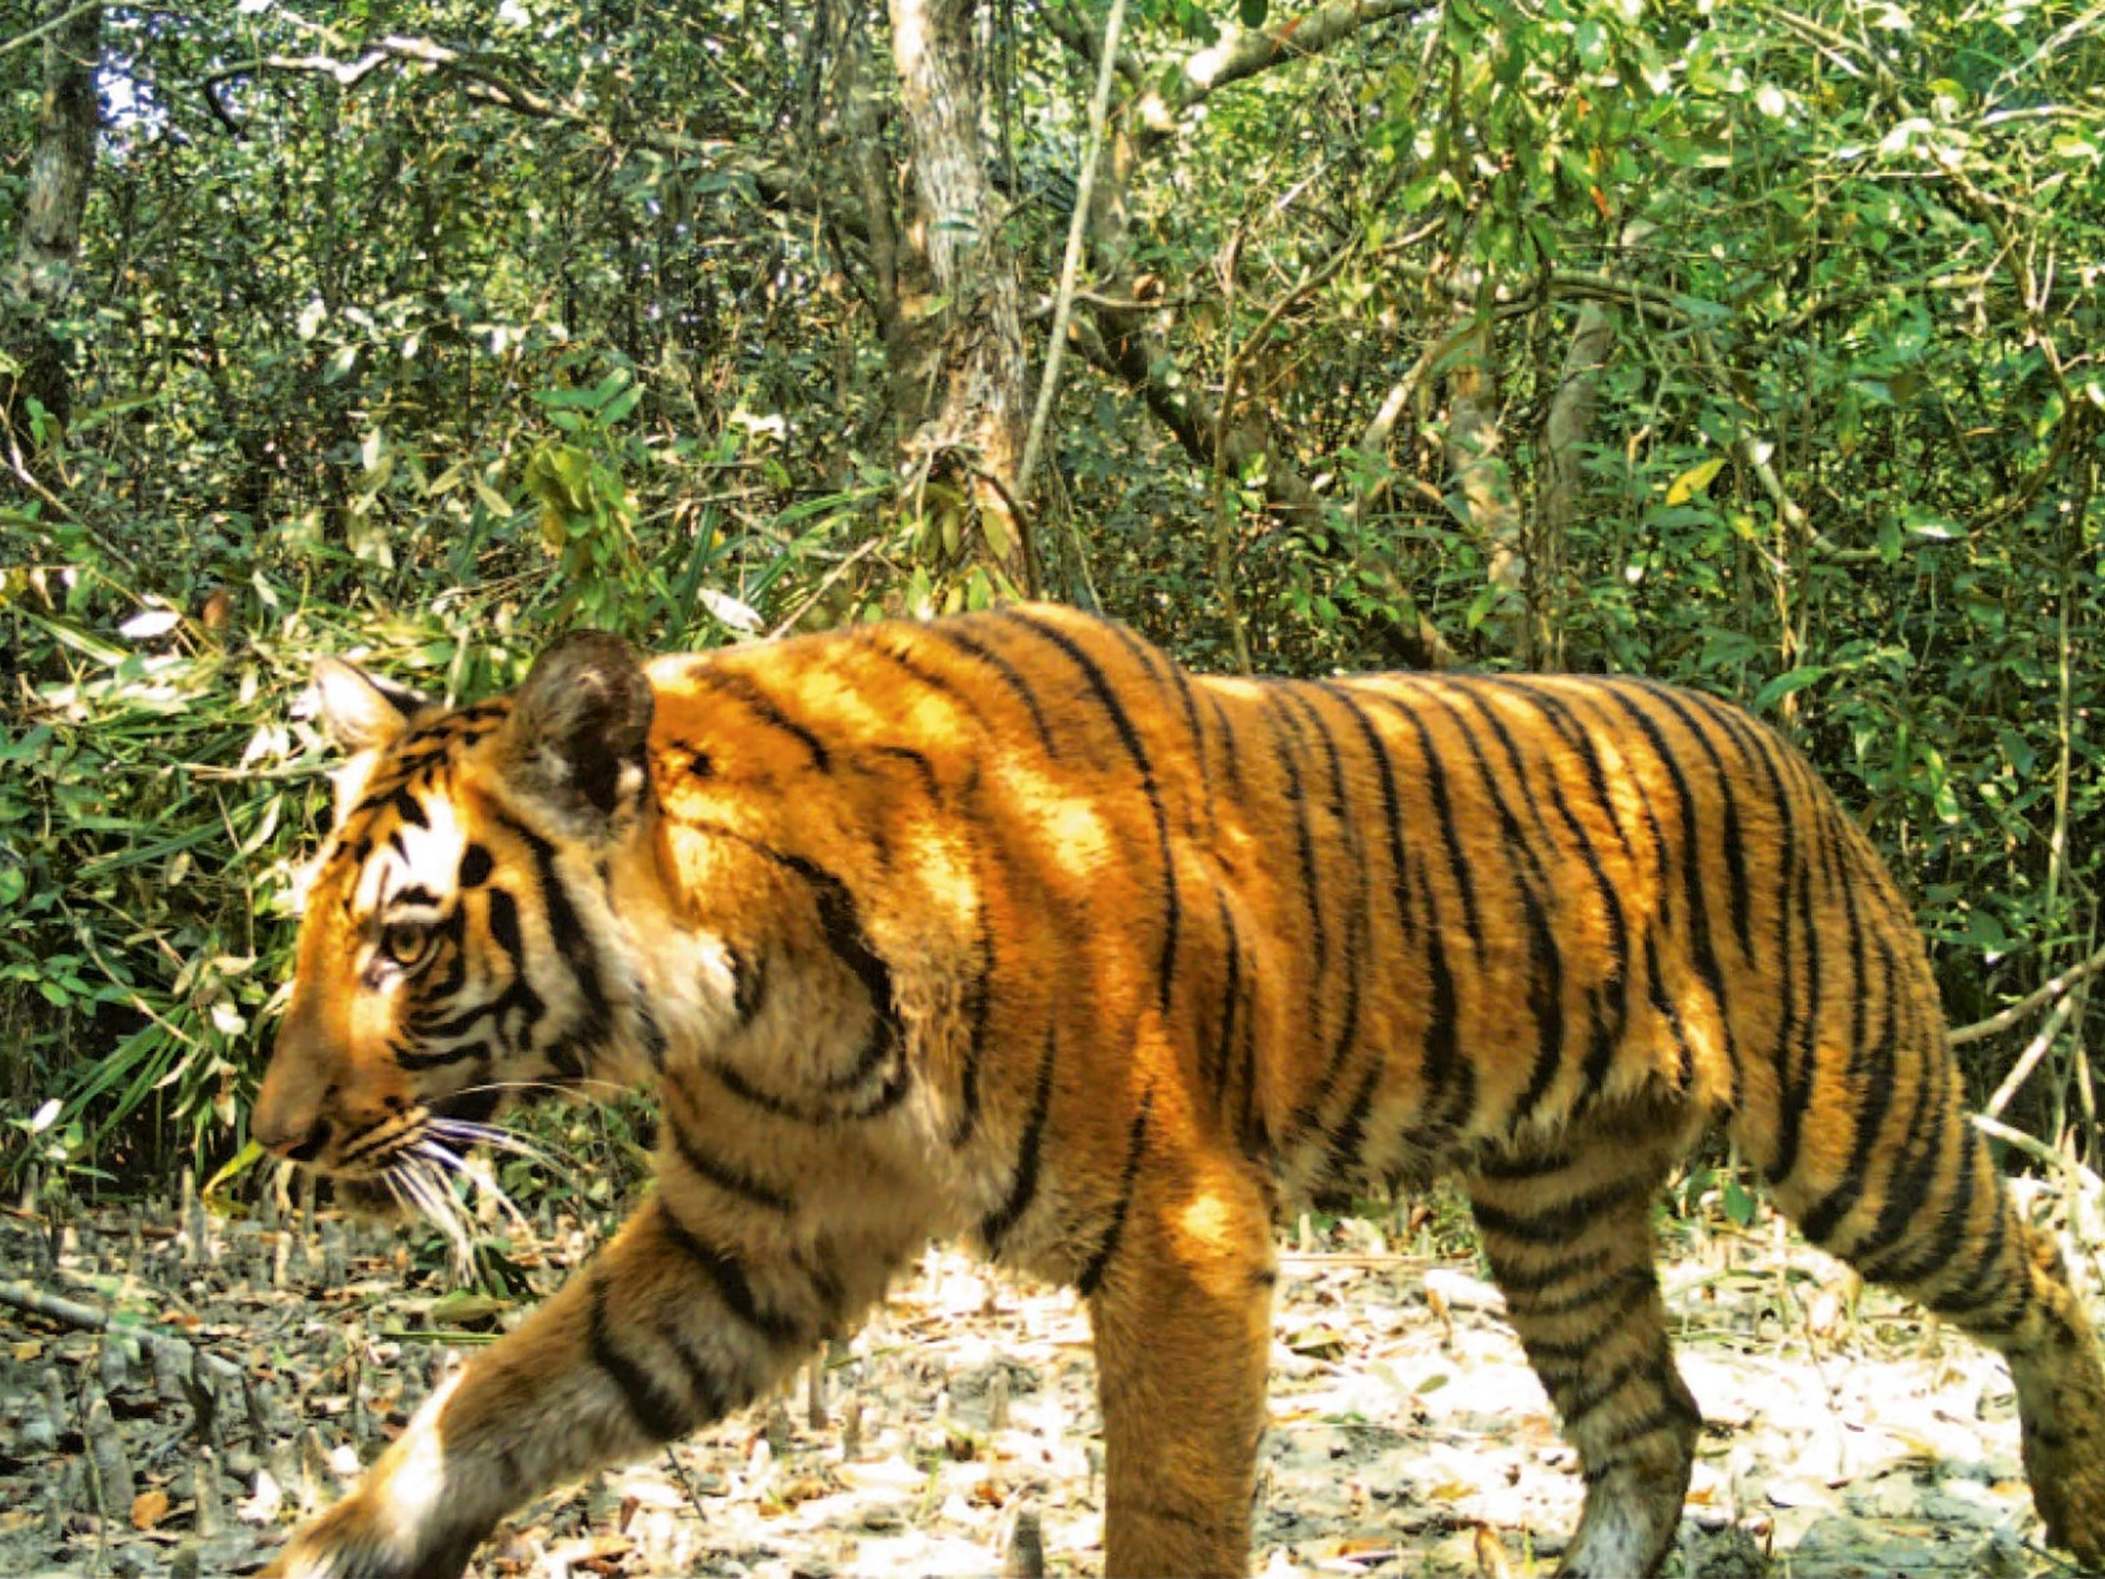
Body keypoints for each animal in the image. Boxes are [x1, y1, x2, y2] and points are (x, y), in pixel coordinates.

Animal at [254, 602, 2105, 1579]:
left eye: (407, 942)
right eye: (312, 925)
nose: (272, 1138)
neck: (753, 999)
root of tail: (1780, 739)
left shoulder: (1182, 1224)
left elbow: (1166, 1499)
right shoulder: (744, 1244)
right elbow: (497, 1399)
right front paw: (337, 1545)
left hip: (1855, 1126)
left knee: (2037, 1267)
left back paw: (2075, 1487)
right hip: (1555, 1200)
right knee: (1649, 1413)